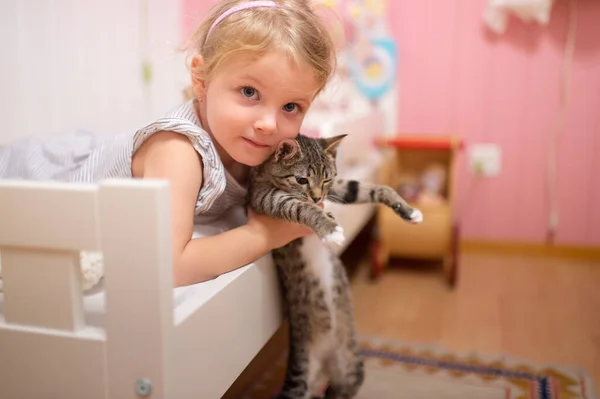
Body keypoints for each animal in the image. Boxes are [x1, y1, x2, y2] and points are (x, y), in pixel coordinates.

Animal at [247, 135, 422, 399]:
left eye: (326, 179)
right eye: (301, 179)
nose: (318, 198)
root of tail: (324, 362)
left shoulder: (339, 186)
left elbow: (369, 188)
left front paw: (408, 210)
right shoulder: (265, 196)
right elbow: (300, 207)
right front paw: (329, 227)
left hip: (352, 369)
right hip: (299, 382)